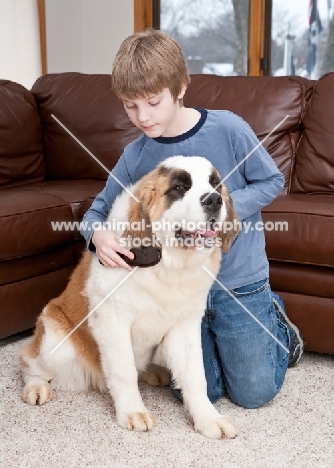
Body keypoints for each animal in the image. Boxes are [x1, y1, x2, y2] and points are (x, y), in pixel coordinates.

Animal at [19, 155, 240, 440]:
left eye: (215, 184)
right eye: (179, 188)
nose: (214, 200)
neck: (168, 266)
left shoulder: (185, 325)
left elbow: (195, 375)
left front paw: (208, 418)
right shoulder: (112, 321)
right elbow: (124, 371)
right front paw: (133, 412)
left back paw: (154, 372)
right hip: (56, 343)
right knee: (28, 361)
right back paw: (35, 386)